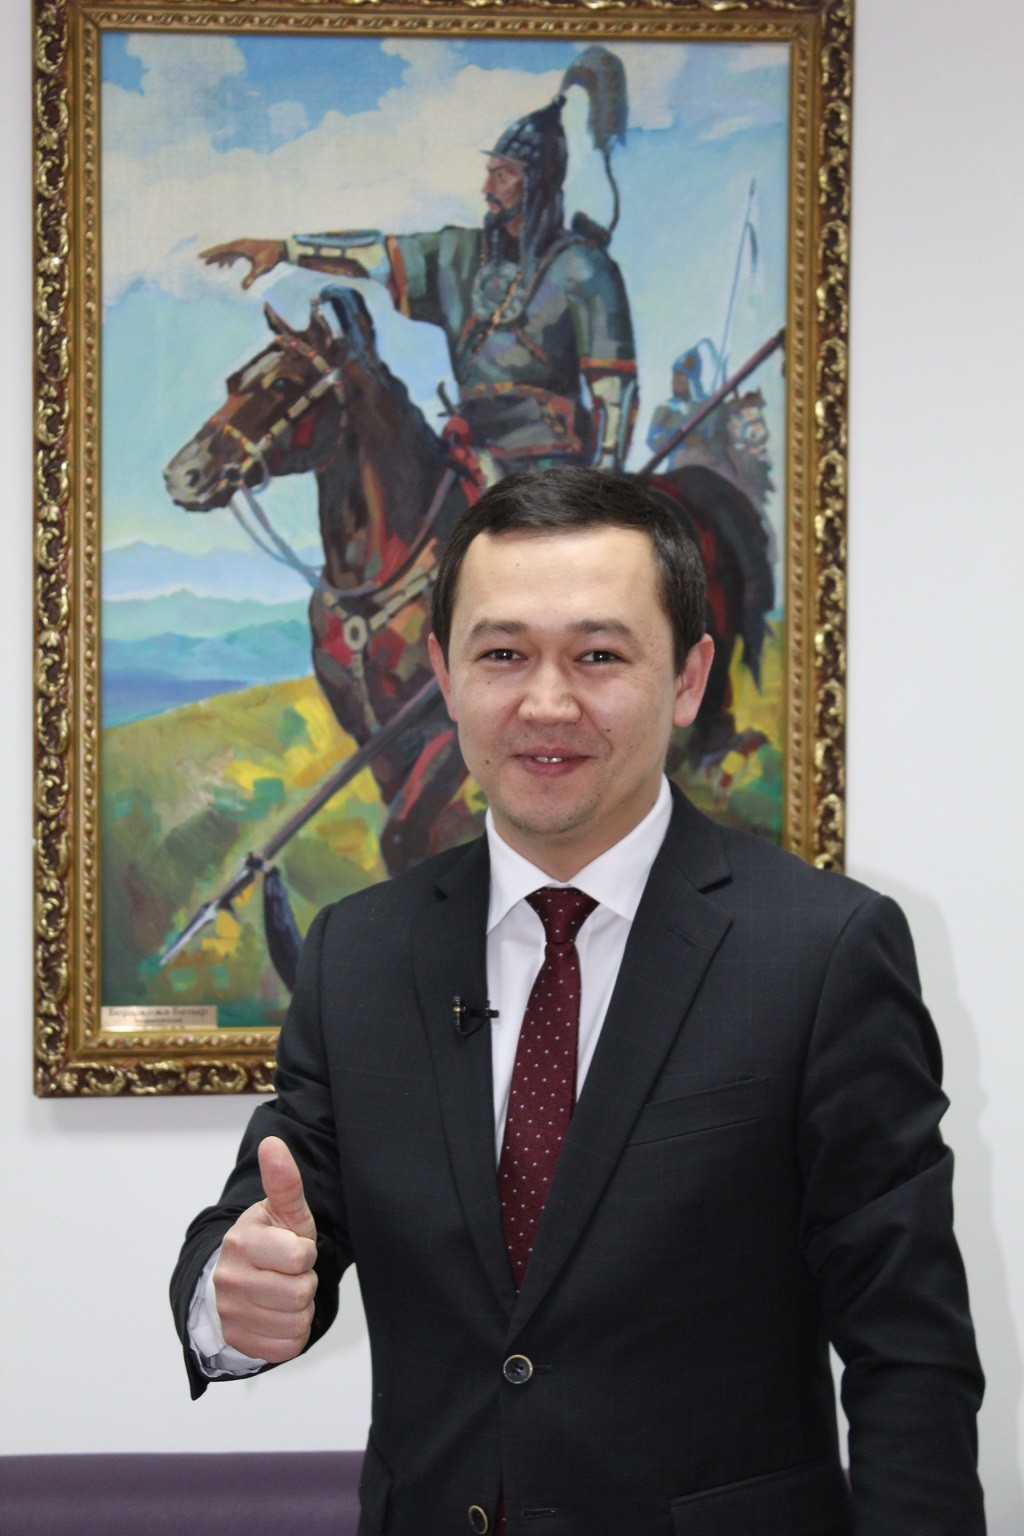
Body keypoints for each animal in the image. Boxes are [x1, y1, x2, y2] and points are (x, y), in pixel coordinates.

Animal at [164, 286, 773, 968]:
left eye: (284, 382)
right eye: (233, 381)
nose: (184, 474)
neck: (380, 571)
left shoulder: (436, 738)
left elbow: (401, 835)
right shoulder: (380, 746)